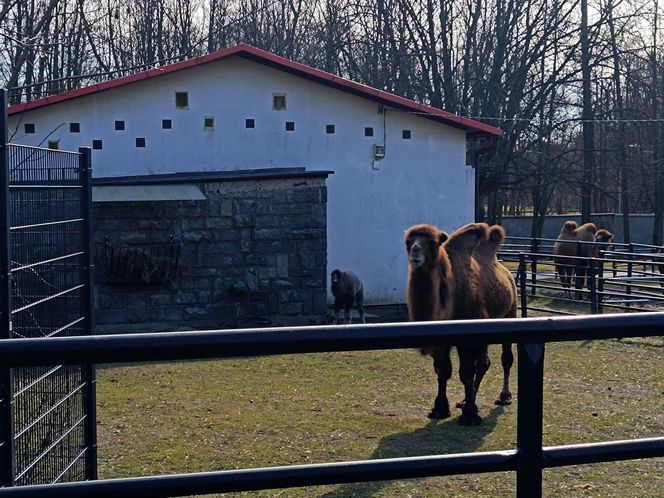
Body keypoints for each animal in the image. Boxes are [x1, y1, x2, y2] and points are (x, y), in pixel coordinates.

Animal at [404, 224, 520, 426]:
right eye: (408, 242)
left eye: (433, 243)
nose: (415, 252)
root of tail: (508, 275)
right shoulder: (441, 342)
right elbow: (442, 371)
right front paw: (439, 409)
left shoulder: (468, 339)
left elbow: (465, 373)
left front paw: (470, 415)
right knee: (484, 363)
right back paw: (466, 400)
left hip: (510, 312)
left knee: (505, 358)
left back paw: (503, 396)